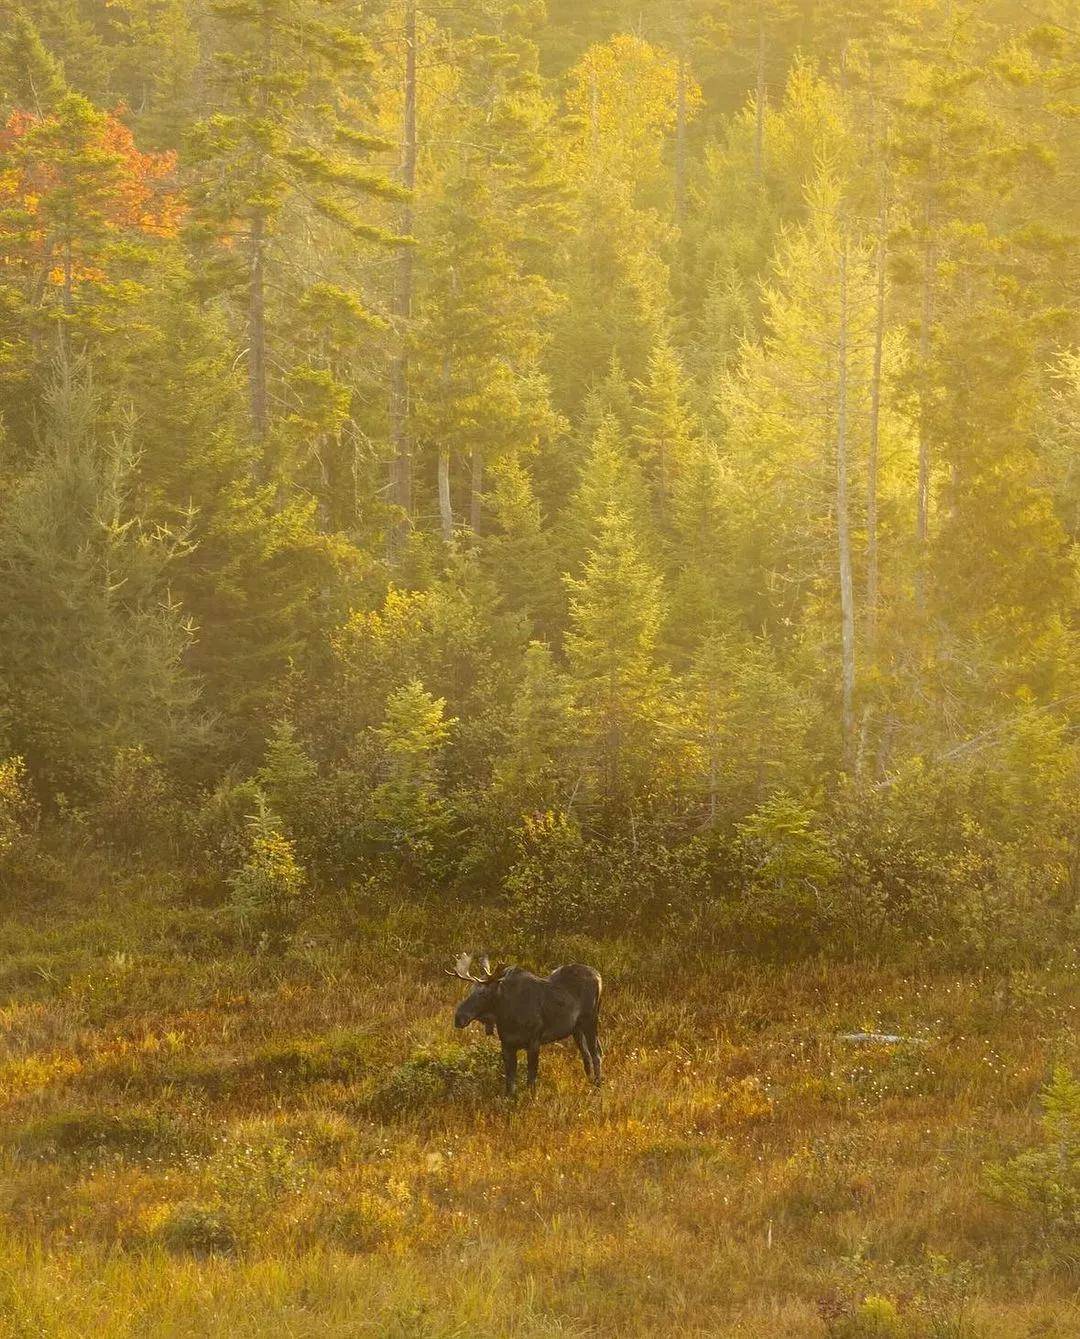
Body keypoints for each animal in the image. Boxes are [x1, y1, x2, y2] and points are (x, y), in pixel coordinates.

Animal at [444, 953, 604, 1097]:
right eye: (470, 990)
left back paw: (598, 1086)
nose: (458, 1018)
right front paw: (509, 1099)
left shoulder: (534, 1041)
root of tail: (598, 976)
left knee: (596, 1054)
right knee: (586, 1055)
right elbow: (510, 1080)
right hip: (576, 1029)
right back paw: (589, 1083)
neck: (506, 1016)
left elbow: (531, 1077)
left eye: (483, 993)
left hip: (590, 1021)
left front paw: (531, 1098)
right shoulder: (507, 1044)